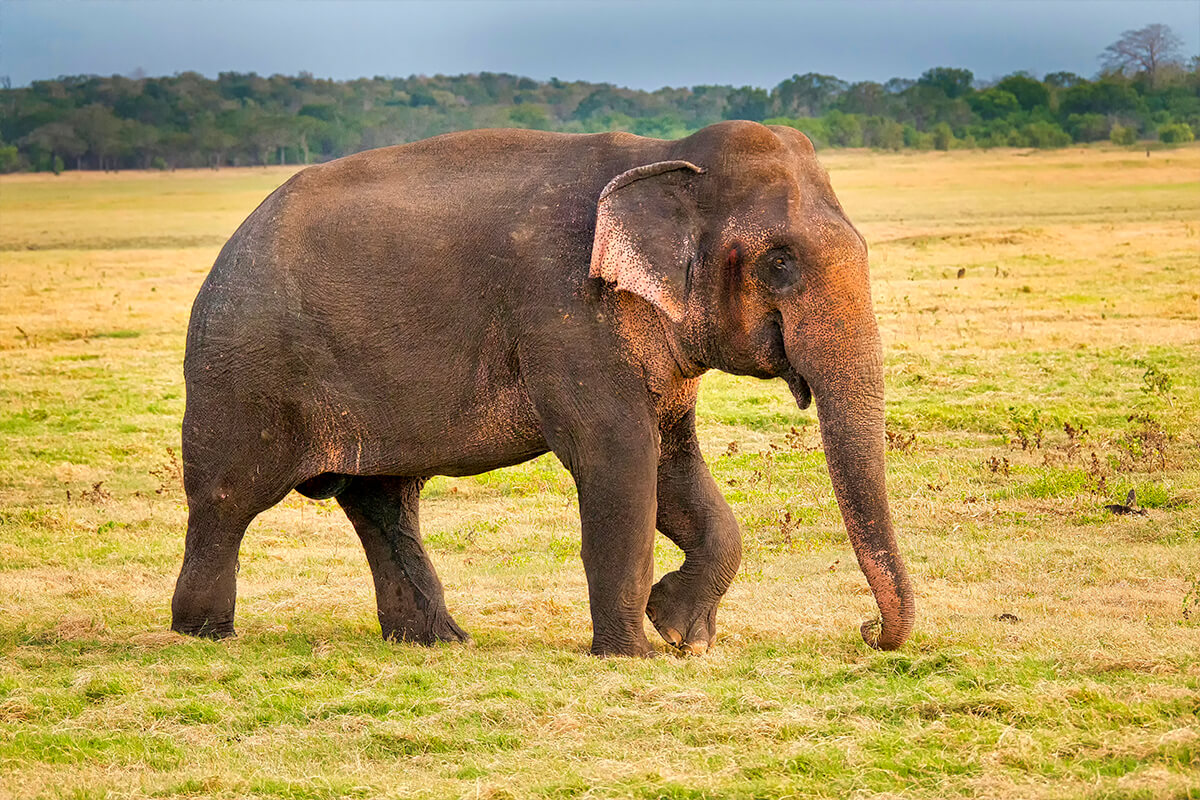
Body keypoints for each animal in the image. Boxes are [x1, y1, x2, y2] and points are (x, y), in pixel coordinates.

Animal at [169, 118, 912, 657]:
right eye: (780, 263)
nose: (868, 633)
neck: (664, 157)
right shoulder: (566, 316)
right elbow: (620, 461)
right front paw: (633, 654)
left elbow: (674, 467)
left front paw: (683, 634)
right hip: (241, 374)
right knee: (228, 500)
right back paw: (205, 635)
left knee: (384, 503)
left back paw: (439, 642)